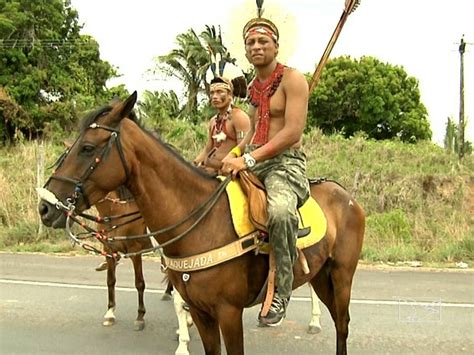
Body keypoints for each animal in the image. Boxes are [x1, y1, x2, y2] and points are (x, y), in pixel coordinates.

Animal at [39, 93, 366, 354]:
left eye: (87, 148)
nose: (45, 206)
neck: (200, 220)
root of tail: (346, 196)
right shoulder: (200, 309)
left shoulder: (229, 313)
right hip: (321, 275)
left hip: (342, 275)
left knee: (343, 324)